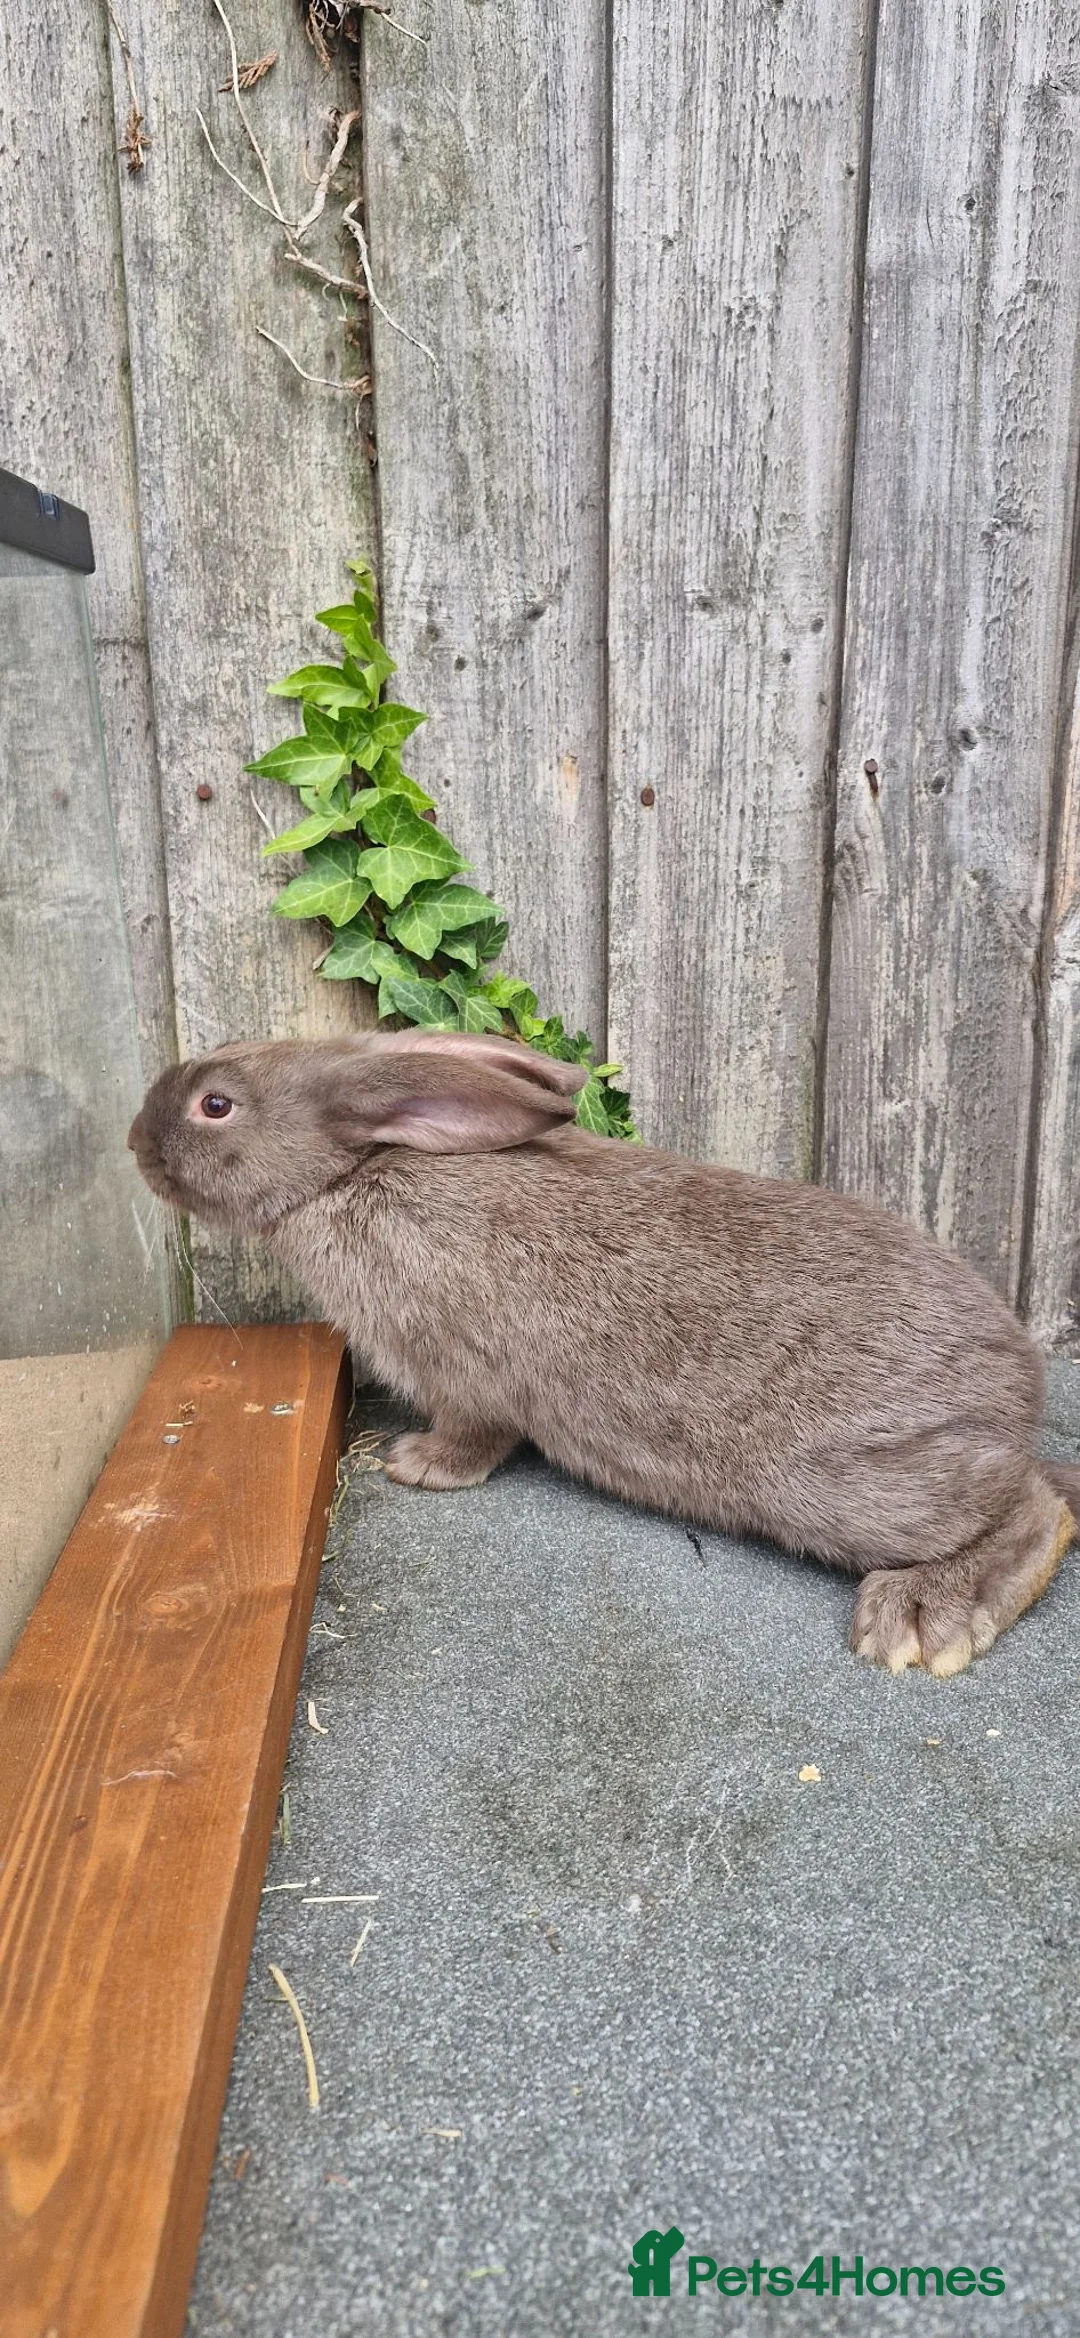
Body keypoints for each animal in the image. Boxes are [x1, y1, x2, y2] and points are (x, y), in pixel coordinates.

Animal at [128, 1027, 1078, 1678]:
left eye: (216, 1105)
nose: (135, 1144)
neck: (349, 1173)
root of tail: (1016, 1389)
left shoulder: (467, 1379)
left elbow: (473, 1436)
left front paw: (416, 1466)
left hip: (853, 1485)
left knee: (1033, 1508)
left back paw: (917, 1622)